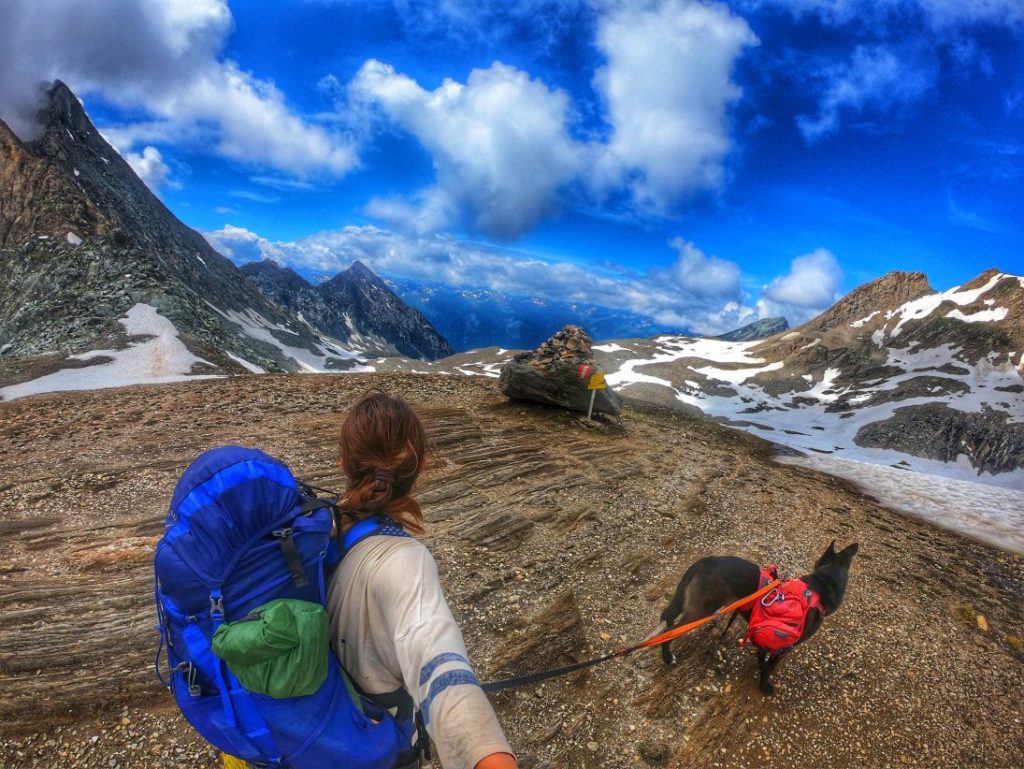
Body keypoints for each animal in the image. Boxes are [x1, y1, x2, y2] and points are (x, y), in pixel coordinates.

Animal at [655, 540, 856, 696]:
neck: (820, 585)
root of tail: (707, 560)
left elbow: (762, 658)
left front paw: (759, 668)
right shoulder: (784, 648)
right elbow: (768, 669)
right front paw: (764, 687)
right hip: (702, 609)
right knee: (669, 631)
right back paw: (668, 657)